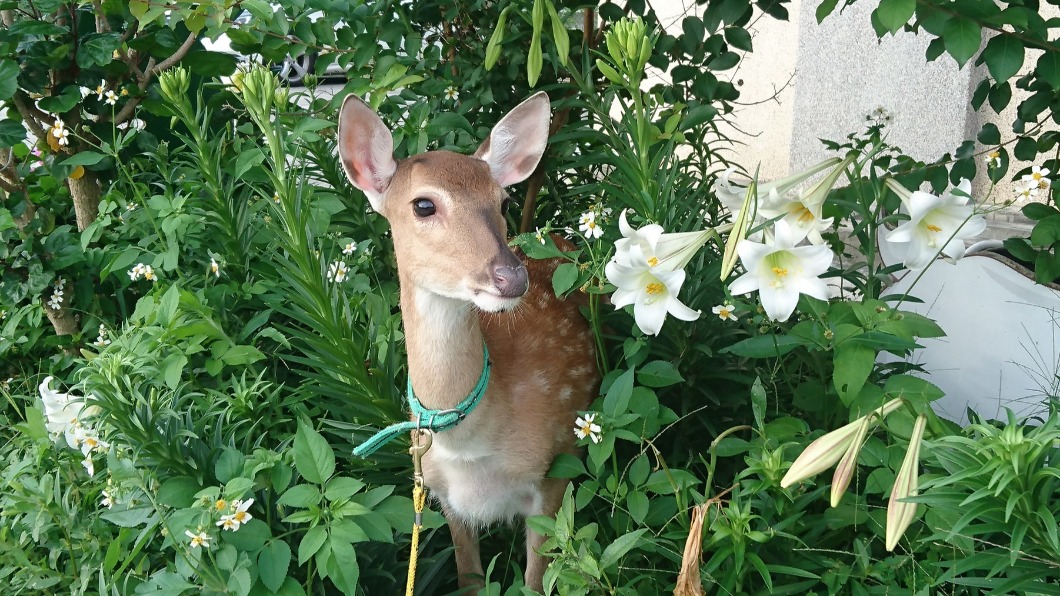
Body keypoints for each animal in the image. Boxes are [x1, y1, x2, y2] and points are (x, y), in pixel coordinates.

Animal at [337, 91, 600, 591]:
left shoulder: (555, 470)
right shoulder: (440, 493)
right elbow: (470, 577)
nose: (511, 277)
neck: (469, 446)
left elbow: (535, 582)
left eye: (502, 200)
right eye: (423, 205)